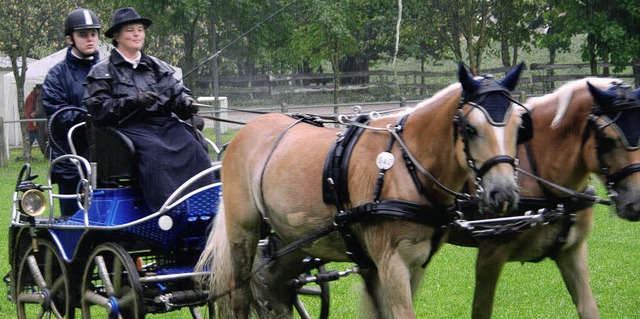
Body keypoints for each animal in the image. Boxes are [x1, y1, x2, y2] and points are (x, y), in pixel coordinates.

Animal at [198, 63, 528, 318]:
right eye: (470, 129)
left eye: (519, 126)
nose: (503, 194)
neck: (405, 167)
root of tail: (244, 133)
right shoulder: (391, 262)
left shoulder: (414, 264)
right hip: (243, 232)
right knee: (241, 294)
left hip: (296, 237)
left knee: (277, 288)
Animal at [448, 78, 640, 319]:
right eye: (607, 140)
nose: (636, 202)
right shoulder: (490, 256)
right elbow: (481, 310)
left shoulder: (572, 252)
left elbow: (588, 308)